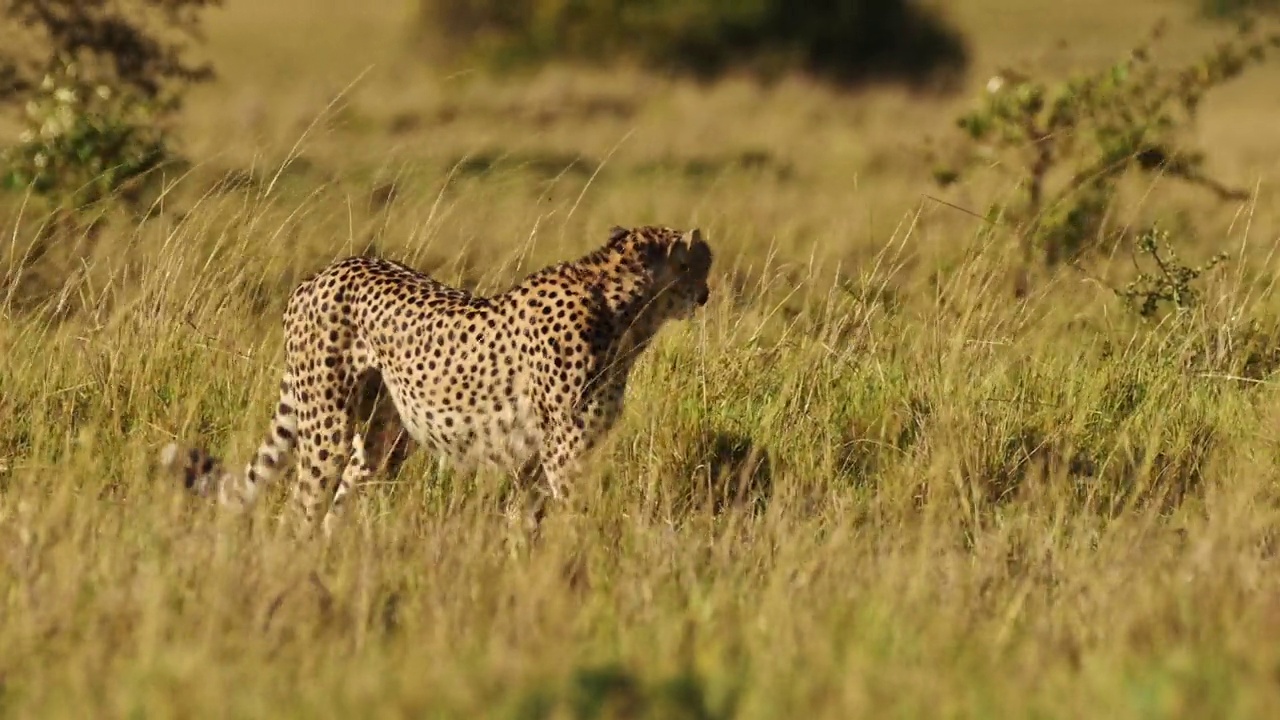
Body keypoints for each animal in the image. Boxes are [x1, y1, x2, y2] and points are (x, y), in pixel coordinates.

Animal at [158, 224, 711, 532]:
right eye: (701, 263)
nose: (706, 293)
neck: (625, 308)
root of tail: (320, 274)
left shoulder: (537, 456)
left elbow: (527, 519)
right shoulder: (563, 450)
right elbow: (575, 513)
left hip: (382, 439)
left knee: (340, 502)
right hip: (326, 424)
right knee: (303, 507)